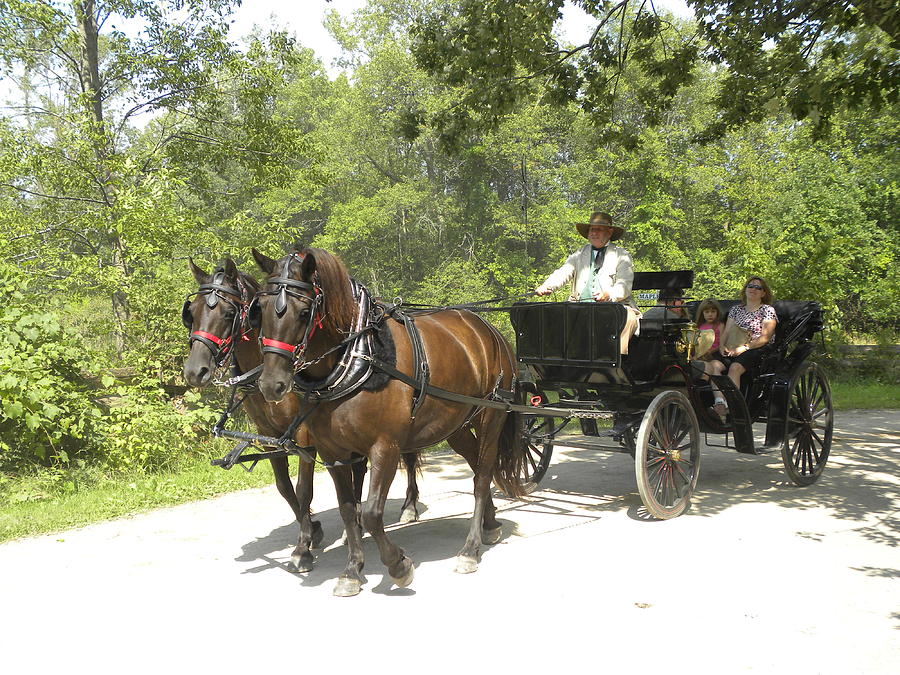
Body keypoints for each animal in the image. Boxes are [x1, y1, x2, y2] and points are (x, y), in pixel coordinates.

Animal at [181, 258, 424, 572]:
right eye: (192, 313)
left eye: (229, 312)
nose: (194, 371)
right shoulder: (270, 437)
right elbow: (285, 488)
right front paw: (313, 530)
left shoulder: (305, 437)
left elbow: (303, 488)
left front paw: (303, 547)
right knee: (358, 468)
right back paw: (355, 524)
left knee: (408, 456)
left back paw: (409, 507)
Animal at [250, 246, 528, 596]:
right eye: (259, 309)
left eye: (303, 312)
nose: (271, 384)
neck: (359, 359)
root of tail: (489, 330)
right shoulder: (332, 452)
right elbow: (347, 509)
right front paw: (352, 570)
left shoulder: (386, 447)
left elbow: (370, 513)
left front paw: (398, 566)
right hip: (458, 426)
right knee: (479, 467)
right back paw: (490, 524)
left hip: (492, 416)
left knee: (482, 478)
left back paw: (470, 549)